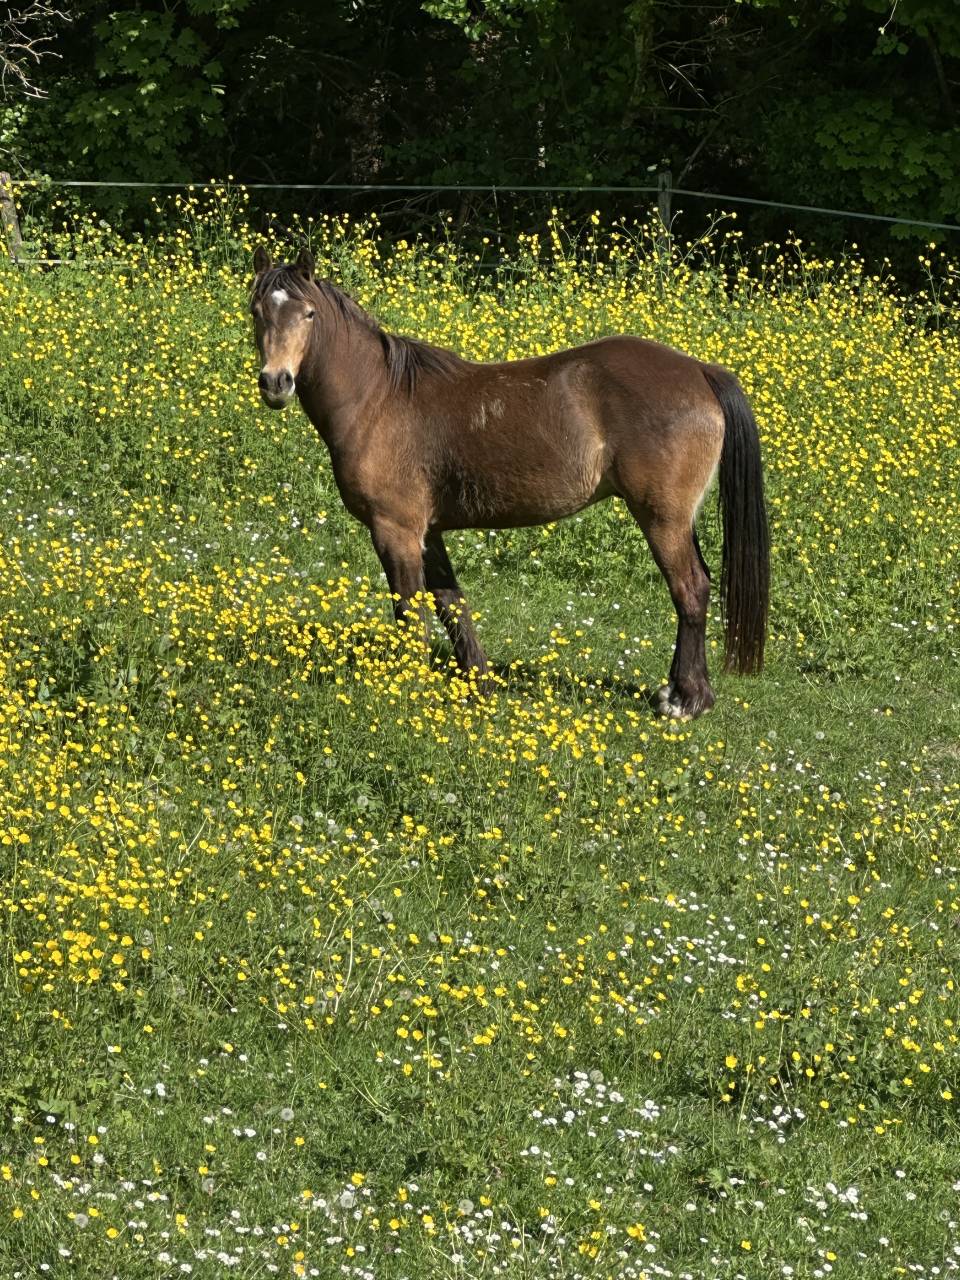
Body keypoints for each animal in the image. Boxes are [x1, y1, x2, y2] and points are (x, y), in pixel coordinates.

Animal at [250, 246, 769, 718]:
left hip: (662, 518)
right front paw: (479, 682)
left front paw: (408, 686)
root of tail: (700, 371)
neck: (378, 398)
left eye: (309, 313)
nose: (276, 382)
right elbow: (451, 603)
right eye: (257, 311)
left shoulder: (395, 530)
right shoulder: (429, 531)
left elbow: (411, 610)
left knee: (690, 589)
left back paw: (686, 700)